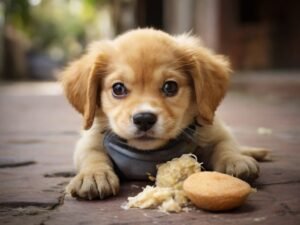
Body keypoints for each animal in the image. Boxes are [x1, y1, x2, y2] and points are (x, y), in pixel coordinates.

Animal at [61, 29, 268, 200]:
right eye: (118, 88)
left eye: (170, 87)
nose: (144, 119)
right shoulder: (89, 141)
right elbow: (92, 157)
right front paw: (93, 175)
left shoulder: (215, 131)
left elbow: (226, 146)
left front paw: (235, 160)